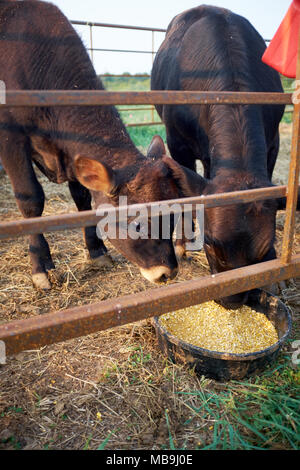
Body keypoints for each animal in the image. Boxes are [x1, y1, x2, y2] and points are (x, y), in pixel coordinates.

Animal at [152, 5, 286, 306]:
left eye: (263, 250)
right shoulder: (177, 144)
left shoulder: (273, 142)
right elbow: (186, 197)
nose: (232, 301)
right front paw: (182, 245)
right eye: (211, 243)